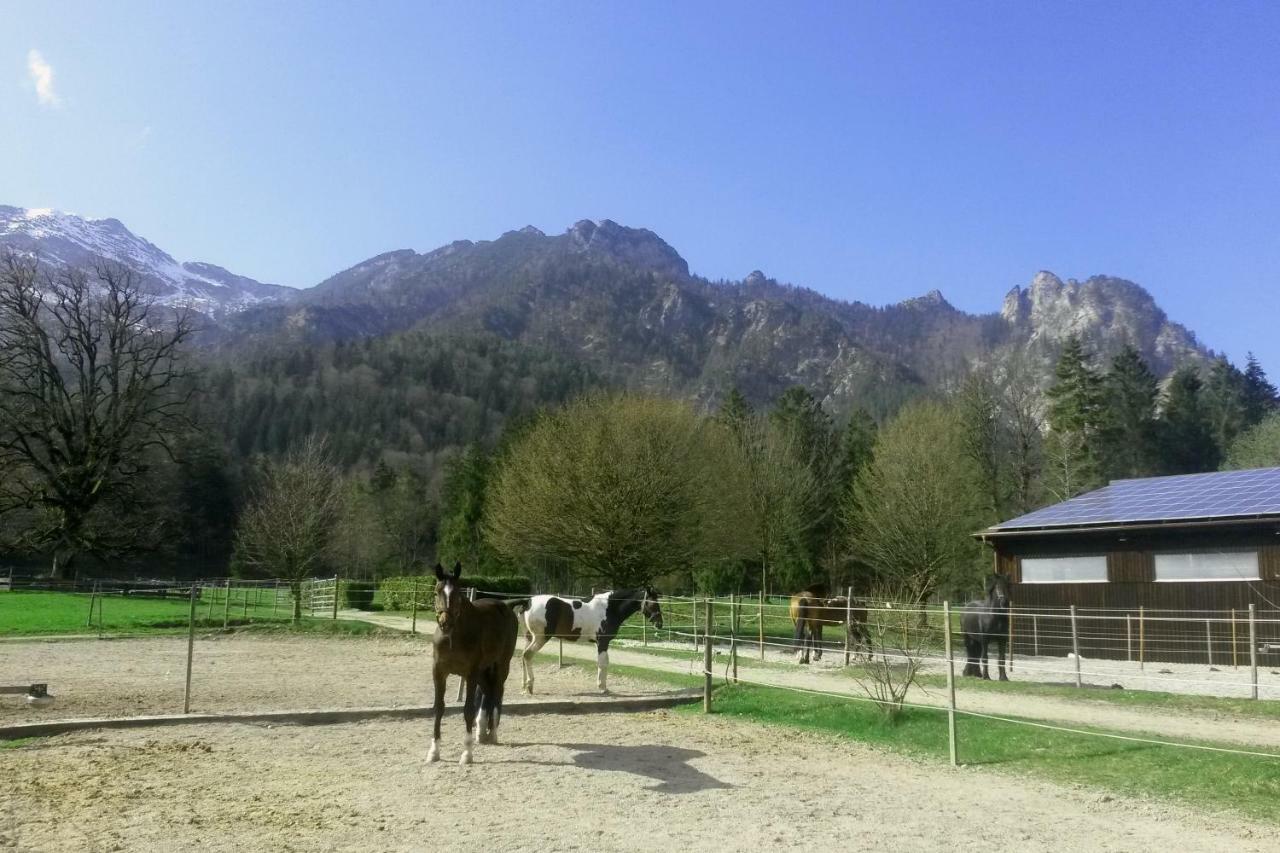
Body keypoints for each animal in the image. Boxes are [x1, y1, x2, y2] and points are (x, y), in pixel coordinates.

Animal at [430, 558, 519, 763]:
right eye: (437, 591)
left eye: (457, 592)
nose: (445, 623)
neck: (453, 637)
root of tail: (507, 606)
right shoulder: (439, 672)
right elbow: (439, 708)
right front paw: (434, 752)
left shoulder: (469, 674)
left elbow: (468, 710)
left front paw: (467, 754)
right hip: (483, 671)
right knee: (488, 692)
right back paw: (481, 732)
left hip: (500, 666)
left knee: (497, 692)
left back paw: (492, 733)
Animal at [517, 589, 660, 696]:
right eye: (653, 603)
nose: (660, 623)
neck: (609, 608)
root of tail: (528, 601)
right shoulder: (603, 642)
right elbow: (603, 663)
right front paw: (602, 688)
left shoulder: (599, 643)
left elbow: (603, 663)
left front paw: (603, 686)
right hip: (540, 638)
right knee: (528, 655)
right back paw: (530, 686)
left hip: (529, 638)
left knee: (523, 657)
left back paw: (524, 687)